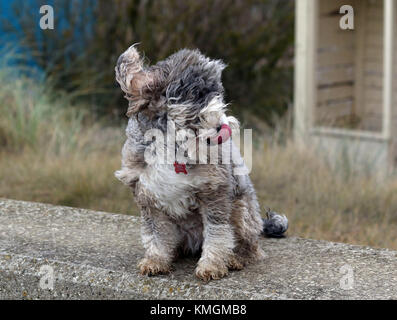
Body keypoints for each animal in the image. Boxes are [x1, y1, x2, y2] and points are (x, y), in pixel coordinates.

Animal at [113, 46, 286, 282]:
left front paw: (211, 266)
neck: (172, 144)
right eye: (196, 94)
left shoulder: (214, 192)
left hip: (242, 210)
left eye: (217, 93)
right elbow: (155, 233)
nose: (222, 126)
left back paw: (236, 258)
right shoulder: (147, 195)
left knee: (251, 246)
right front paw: (155, 261)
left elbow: (217, 234)